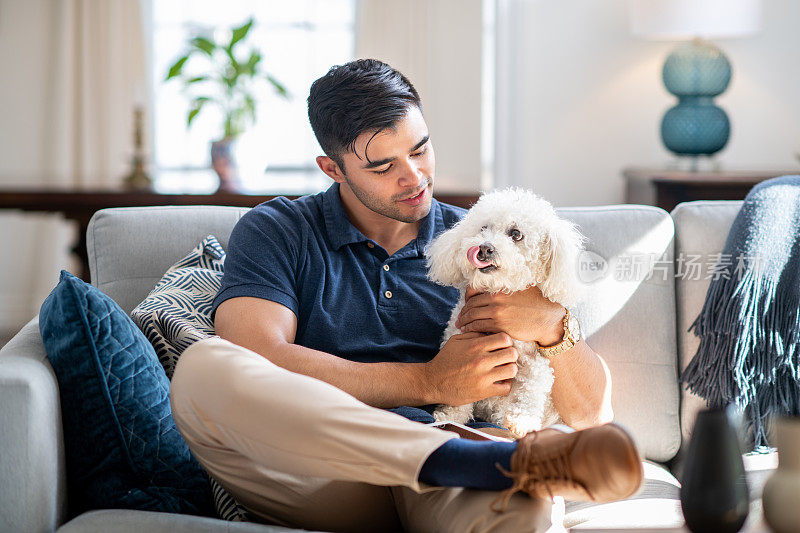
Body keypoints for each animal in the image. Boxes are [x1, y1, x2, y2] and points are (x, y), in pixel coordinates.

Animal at [424, 187, 588, 436]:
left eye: (516, 234)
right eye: (483, 228)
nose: (484, 247)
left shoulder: (536, 362)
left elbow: (532, 390)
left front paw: (522, 421)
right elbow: (460, 393)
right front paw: (450, 415)